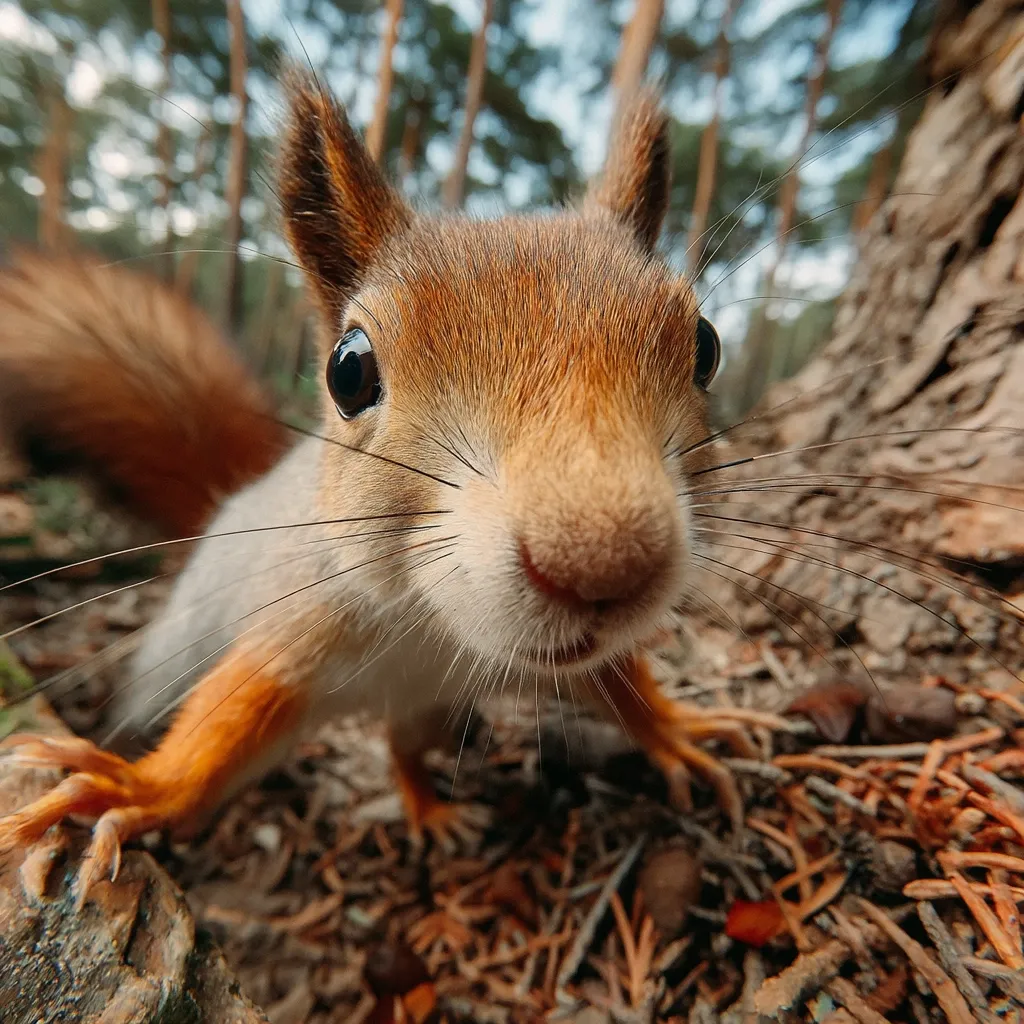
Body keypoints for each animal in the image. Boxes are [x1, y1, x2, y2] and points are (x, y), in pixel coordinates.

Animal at [0, 70, 756, 900]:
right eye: (348, 371)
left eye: (707, 346)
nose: (606, 566)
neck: (439, 629)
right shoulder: (301, 623)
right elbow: (227, 723)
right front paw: (135, 788)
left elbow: (620, 684)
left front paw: (677, 731)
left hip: (428, 714)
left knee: (404, 747)